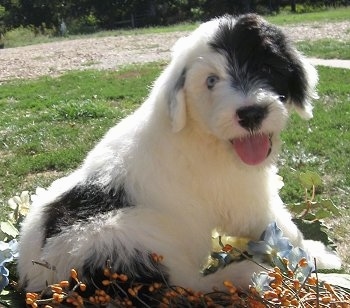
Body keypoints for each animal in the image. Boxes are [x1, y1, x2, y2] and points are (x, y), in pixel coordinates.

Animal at [17, 13, 342, 296]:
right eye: (211, 81)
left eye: (268, 69)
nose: (251, 113)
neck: (202, 133)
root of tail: (39, 279)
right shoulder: (245, 198)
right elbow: (283, 229)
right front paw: (318, 256)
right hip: (125, 234)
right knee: (185, 285)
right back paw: (244, 274)